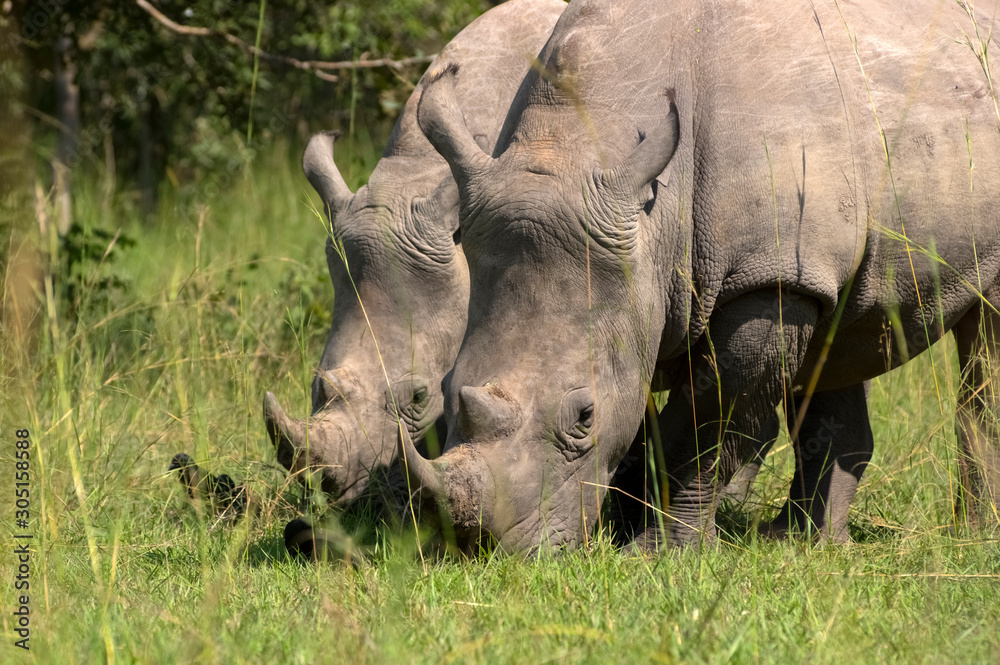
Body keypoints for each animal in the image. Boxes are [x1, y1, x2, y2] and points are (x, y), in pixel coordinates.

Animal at [404, 0, 1000, 551]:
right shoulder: (654, 280)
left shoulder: (765, 276)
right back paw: (800, 544)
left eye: (585, 416)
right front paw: (627, 526)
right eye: (447, 390)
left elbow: (706, 423)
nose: (483, 547)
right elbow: (658, 417)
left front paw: (657, 553)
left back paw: (971, 539)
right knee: (835, 333)